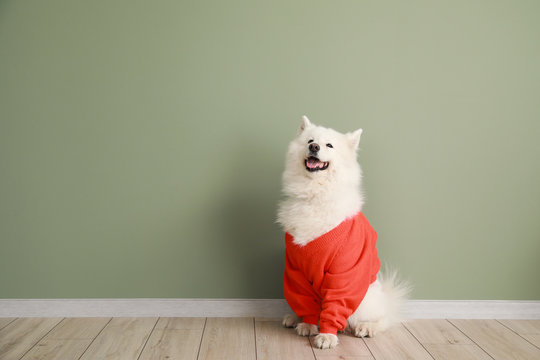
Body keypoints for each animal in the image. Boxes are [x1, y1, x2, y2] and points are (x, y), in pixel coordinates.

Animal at [278, 115, 410, 348]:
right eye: (310, 140)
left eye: (329, 145)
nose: (314, 147)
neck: (314, 195)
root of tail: (385, 297)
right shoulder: (296, 268)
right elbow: (304, 301)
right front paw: (307, 324)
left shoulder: (344, 270)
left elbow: (335, 305)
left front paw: (327, 335)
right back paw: (294, 318)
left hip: (365, 301)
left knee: (383, 318)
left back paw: (367, 327)